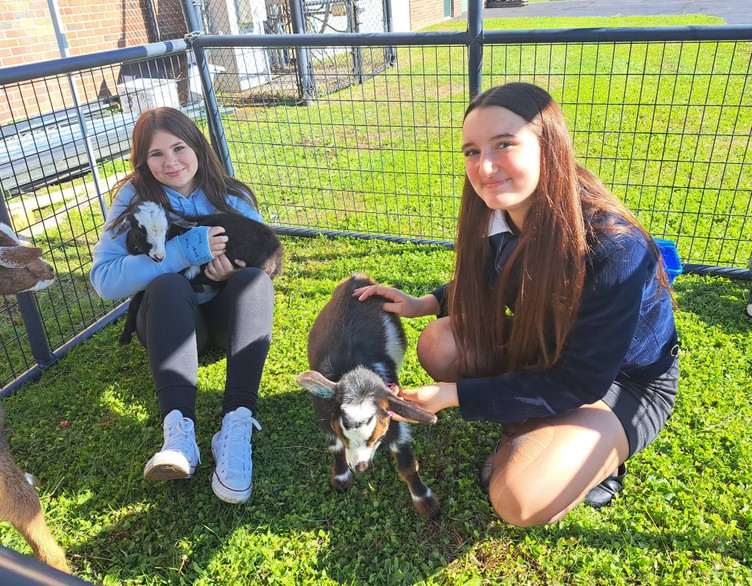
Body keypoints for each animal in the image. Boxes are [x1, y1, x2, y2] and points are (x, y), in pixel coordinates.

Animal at [113, 201, 284, 344]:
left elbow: (137, 297)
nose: (159, 256)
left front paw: (125, 335)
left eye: (166, 230)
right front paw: (125, 335)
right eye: (139, 232)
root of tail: (275, 253)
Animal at [296, 272, 440, 512]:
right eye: (344, 434)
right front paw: (341, 479)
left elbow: (406, 463)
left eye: (375, 436)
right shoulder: (324, 412)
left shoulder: (393, 410)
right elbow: (335, 447)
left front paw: (426, 504)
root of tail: (358, 278)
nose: (360, 467)